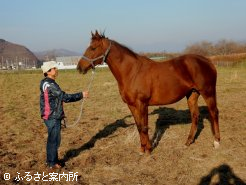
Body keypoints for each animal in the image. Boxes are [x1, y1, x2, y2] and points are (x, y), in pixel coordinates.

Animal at [77, 31, 219, 154]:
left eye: (93, 48)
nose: (79, 67)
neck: (132, 72)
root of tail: (207, 61)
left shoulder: (142, 104)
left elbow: (144, 126)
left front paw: (149, 150)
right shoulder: (132, 105)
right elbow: (139, 126)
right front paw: (142, 149)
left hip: (208, 93)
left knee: (214, 113)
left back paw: (216, 142)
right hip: (192, 94)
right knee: (195, 116)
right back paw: (188, 142)